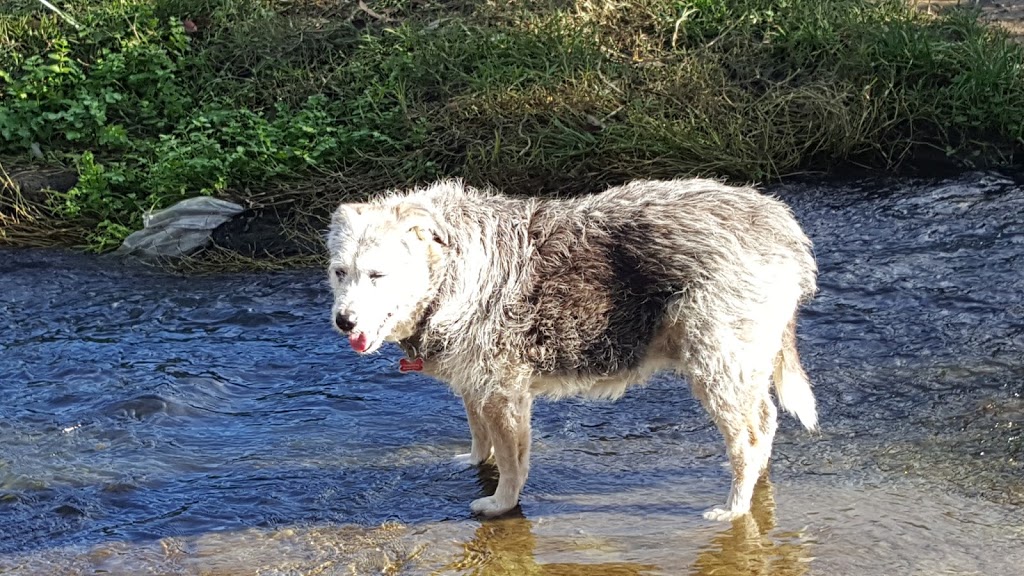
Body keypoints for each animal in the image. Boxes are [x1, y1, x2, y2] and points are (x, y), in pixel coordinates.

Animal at [323, 177, 819, 518]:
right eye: (339, 272)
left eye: (378, 275)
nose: (344, 321)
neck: (452, 272)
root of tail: (780, 225)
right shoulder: (475, 385)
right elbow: (479, 432)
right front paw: (474, 460)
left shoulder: (504, 393)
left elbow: (511, 460)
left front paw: (501, 503)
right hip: (742, 361)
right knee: (765, 421)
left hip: (716, 363)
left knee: (749, 438)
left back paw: (735, 507)